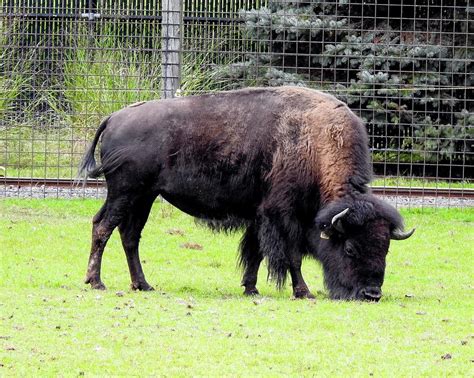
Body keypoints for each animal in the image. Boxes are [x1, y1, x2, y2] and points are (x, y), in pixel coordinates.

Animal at [78, 86, 414, 302]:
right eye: (350, 249)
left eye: (385, 249)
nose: (371, 294)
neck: (313, 143)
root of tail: (114, 117)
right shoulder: (283, 215)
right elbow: (291, 255)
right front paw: (303, 291)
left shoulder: (258, 214)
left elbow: (255, 252)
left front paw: (250, 288)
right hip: (125, 192)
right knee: (103, 227)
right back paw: (96, 282)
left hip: (143, 197)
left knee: (129, 235)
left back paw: (143, 285)